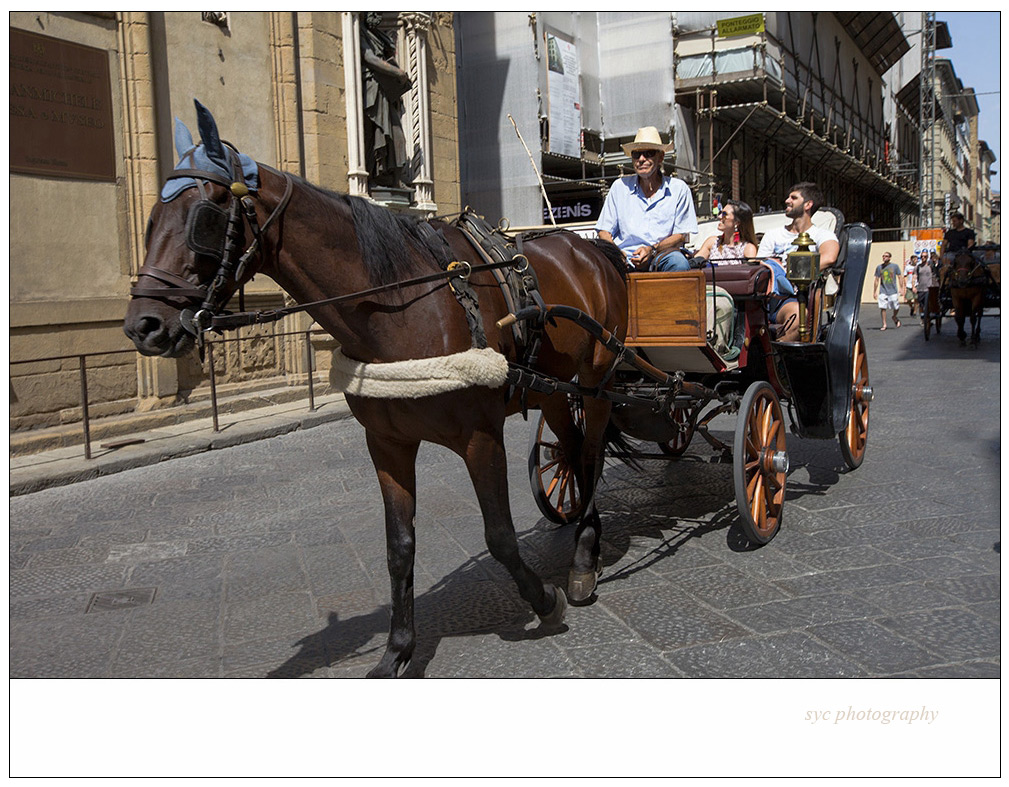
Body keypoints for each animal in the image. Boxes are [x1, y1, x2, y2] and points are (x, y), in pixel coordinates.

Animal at [122, 99, 625, 678]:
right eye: (150, 221)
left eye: (204, 218)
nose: (143, 326)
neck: (403, 304)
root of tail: (589, 247)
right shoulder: (387, 443)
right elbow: (398, 547)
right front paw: (397, 649)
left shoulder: (481, 437)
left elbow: (498, 535)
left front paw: (543, 601)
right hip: (551, 387)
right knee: (571, 451)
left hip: (599, 381)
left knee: (591, 455)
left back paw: (584, 558)